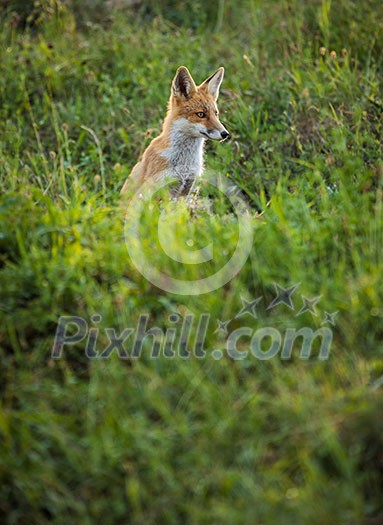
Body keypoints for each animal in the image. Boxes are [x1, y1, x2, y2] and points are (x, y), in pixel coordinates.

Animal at [120, 65, 230, 196]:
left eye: (216, 114)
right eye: (201, 114)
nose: (225, 134)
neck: (185, 162)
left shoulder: (187, 187)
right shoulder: (160, 188)